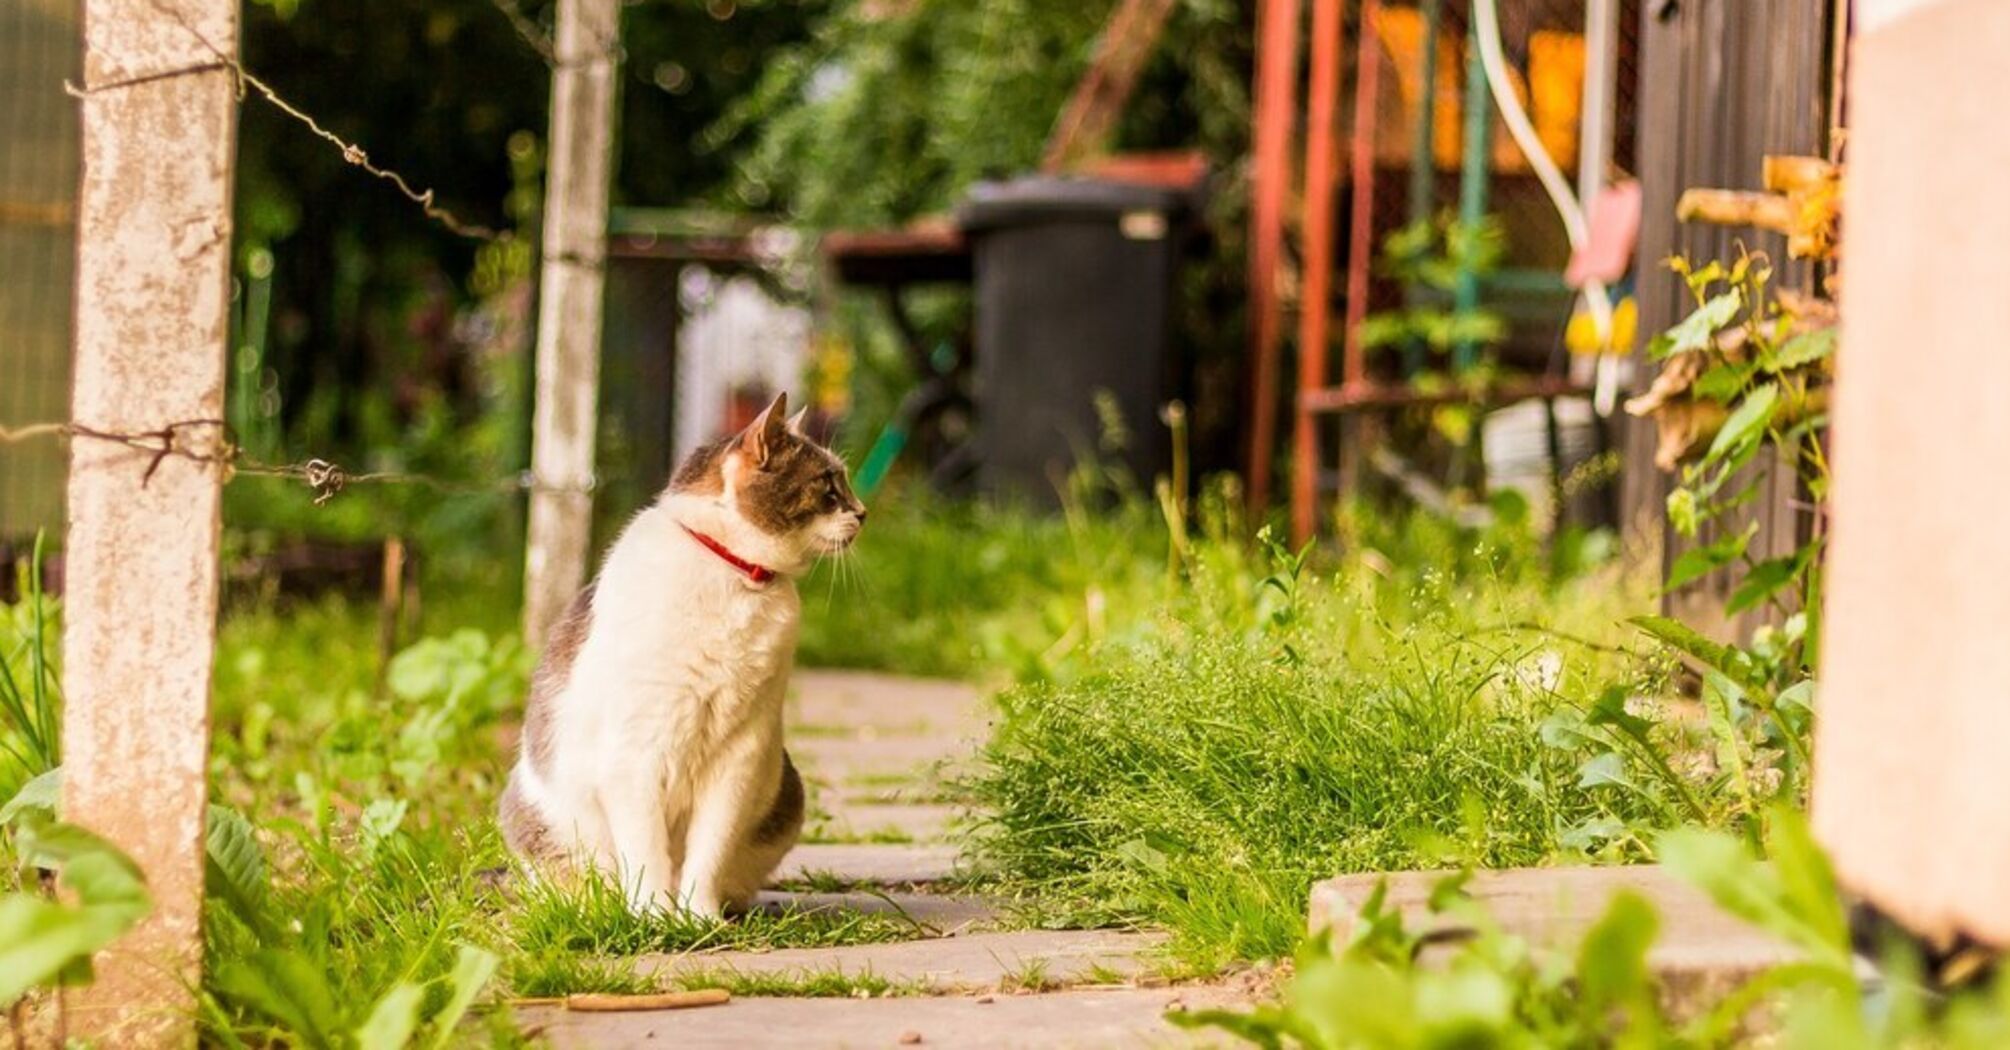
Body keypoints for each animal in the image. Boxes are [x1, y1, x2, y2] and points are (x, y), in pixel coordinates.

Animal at [500, 392, 864, 917]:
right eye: (828, 484)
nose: (863, 512)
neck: (734, 576)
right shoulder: (636, 754)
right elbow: (646, 851)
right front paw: (653, 916)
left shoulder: (739, 757)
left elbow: (709, 850)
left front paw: (698, 918)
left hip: (786, 792)